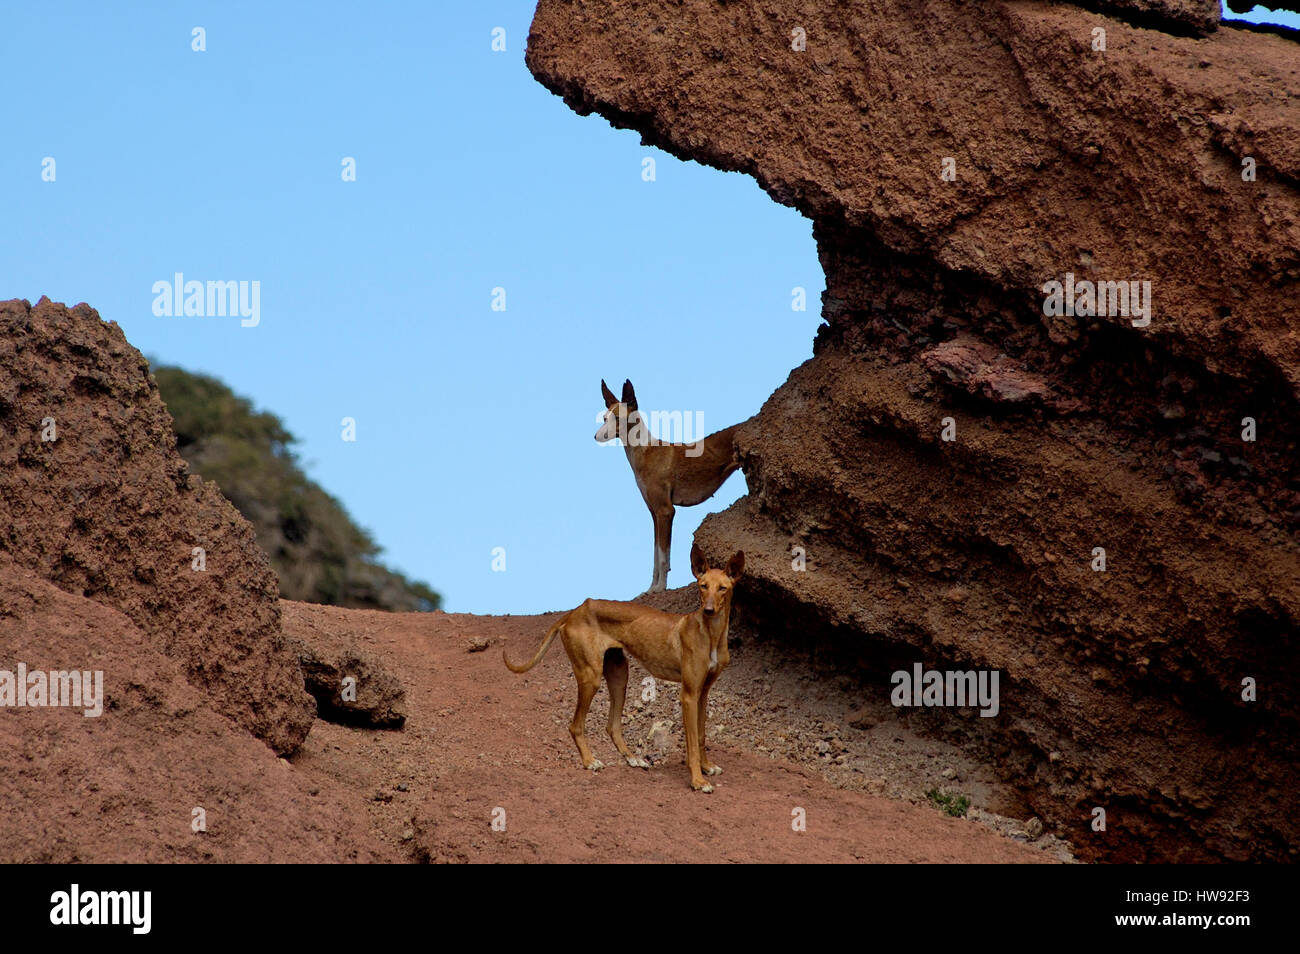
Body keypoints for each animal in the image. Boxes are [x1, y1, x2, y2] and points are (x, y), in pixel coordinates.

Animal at [501, 540, 743, 795]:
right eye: (702, 586)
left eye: (722, 588)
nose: (708, 610)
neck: (711, 633)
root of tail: (575, 610)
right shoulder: (688, 694)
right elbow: (692, 742)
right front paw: (698, 780)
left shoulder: (702, 693)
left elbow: (701, 735)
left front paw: (707, 767)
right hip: (591, 676)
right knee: (575, 725)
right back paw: (590, 761)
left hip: (619, 675)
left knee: (612, 726)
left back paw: (632, 758)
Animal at [592, 379, 738, 590]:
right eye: (604, 418)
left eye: (617, 418)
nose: (595, 436)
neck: (645, 451)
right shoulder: (654, 513)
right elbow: (657, 555)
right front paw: (652, 589)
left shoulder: (665, 511)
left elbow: (662, 557)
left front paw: (661, 588)